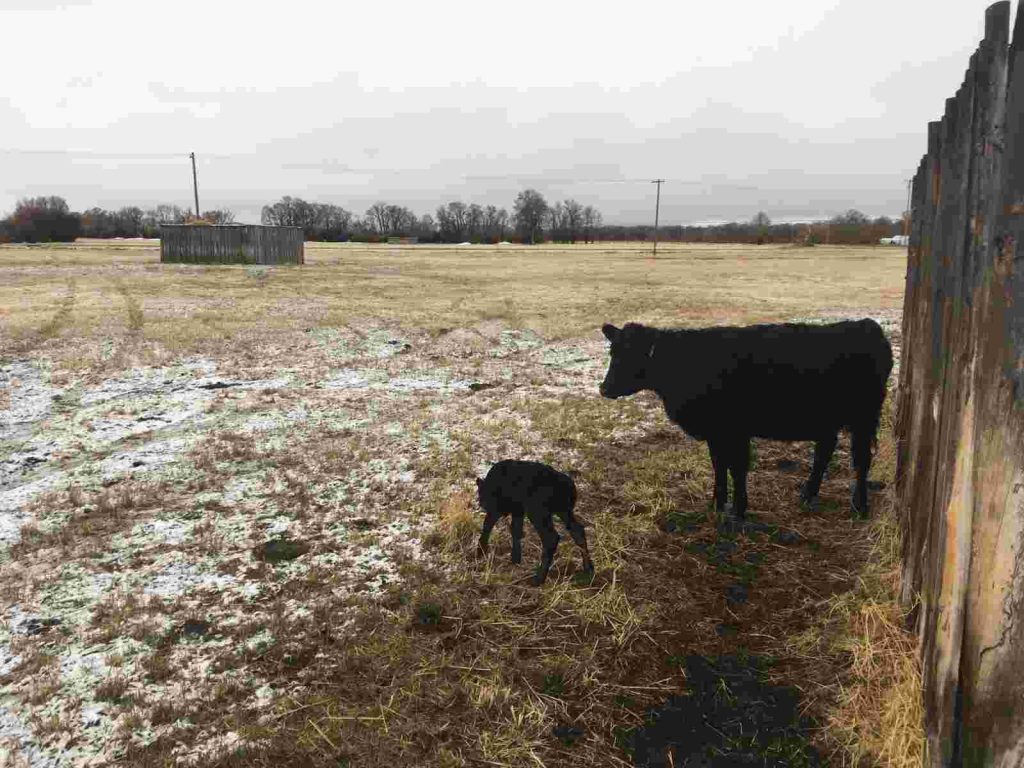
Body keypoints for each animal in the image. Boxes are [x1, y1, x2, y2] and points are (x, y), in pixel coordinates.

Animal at [599, 319, 893, 520]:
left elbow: (737, 468)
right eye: (613, 352)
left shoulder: (735, 430)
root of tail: (867, 325)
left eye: (631, 355)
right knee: (824, 452)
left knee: (861, 460)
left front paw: (739, 509)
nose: (603, 388)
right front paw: (717, 504)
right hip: (828, 420)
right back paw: (808, 494)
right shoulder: (716, 432)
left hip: (864, 418)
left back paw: (860, 506)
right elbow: (719, 465)